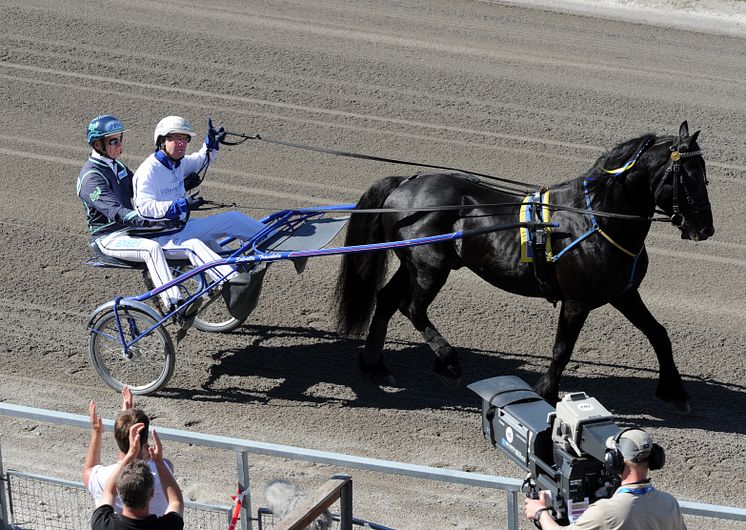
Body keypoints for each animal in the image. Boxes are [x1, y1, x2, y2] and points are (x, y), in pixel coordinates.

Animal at [334, 121, 712, 410]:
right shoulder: (577, 301)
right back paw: (449, 364)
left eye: (705, 176)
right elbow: (562, 349)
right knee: (411, 307)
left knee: (386, 300)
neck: (596, 218)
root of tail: (407, 182)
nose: (705, 229)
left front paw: (675, 392)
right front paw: (546, 391)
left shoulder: (624, 293)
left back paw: (375, 366)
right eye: (688, 175)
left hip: (412, 263)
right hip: (430, 267)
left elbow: (659, 333)